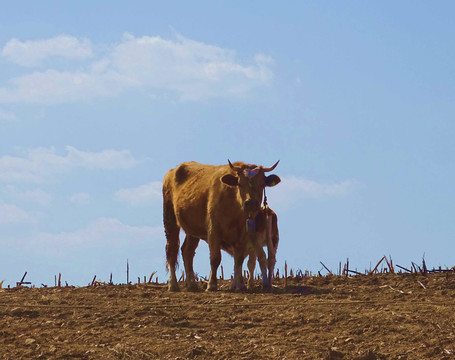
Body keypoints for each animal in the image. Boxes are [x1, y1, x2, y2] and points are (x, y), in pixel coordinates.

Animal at [162, 159, 280, 292]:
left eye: (262, 184)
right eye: (240, 183)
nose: (251, 203)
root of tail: (172, 171)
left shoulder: (242, 236)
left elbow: (239, 260)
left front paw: (240, 286)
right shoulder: (213, 231)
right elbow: (215, 258)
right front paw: (212, 285)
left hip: (193, 230)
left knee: (187, 251)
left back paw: (192, 284)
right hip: (170, 219)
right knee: (171, 250)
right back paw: (173, 284)